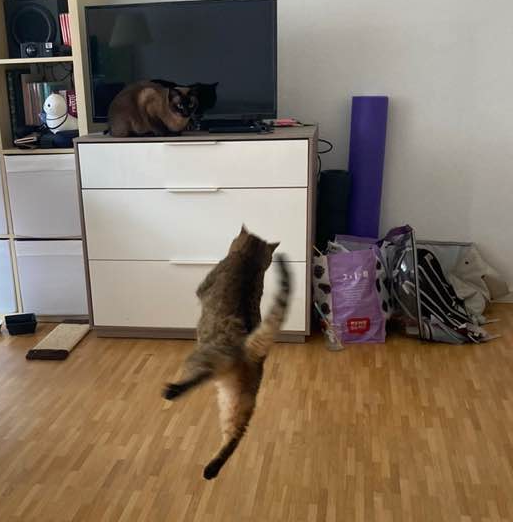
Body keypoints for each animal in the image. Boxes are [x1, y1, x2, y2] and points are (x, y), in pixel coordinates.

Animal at [162, 226, 291, 480]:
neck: (248, 262)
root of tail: (248, 349)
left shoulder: (205, 284)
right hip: (238, 402)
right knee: (234, 436)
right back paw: (211, 469)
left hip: (203, 359)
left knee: (197, 377)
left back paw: (172, 391)